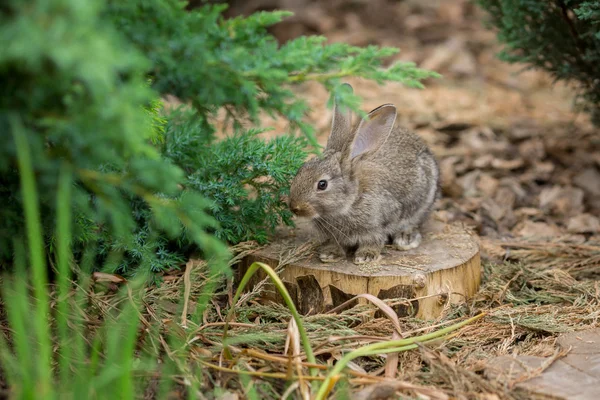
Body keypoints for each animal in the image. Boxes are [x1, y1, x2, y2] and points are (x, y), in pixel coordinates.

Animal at [288, 83, 438, 266]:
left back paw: (405, 239)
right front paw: (330, 254)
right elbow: (336, 243)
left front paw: (365, 256)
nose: (294, 207)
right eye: (301, 169)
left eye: (322, 184)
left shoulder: (379, 224)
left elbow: (374, 240)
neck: (351, 201)